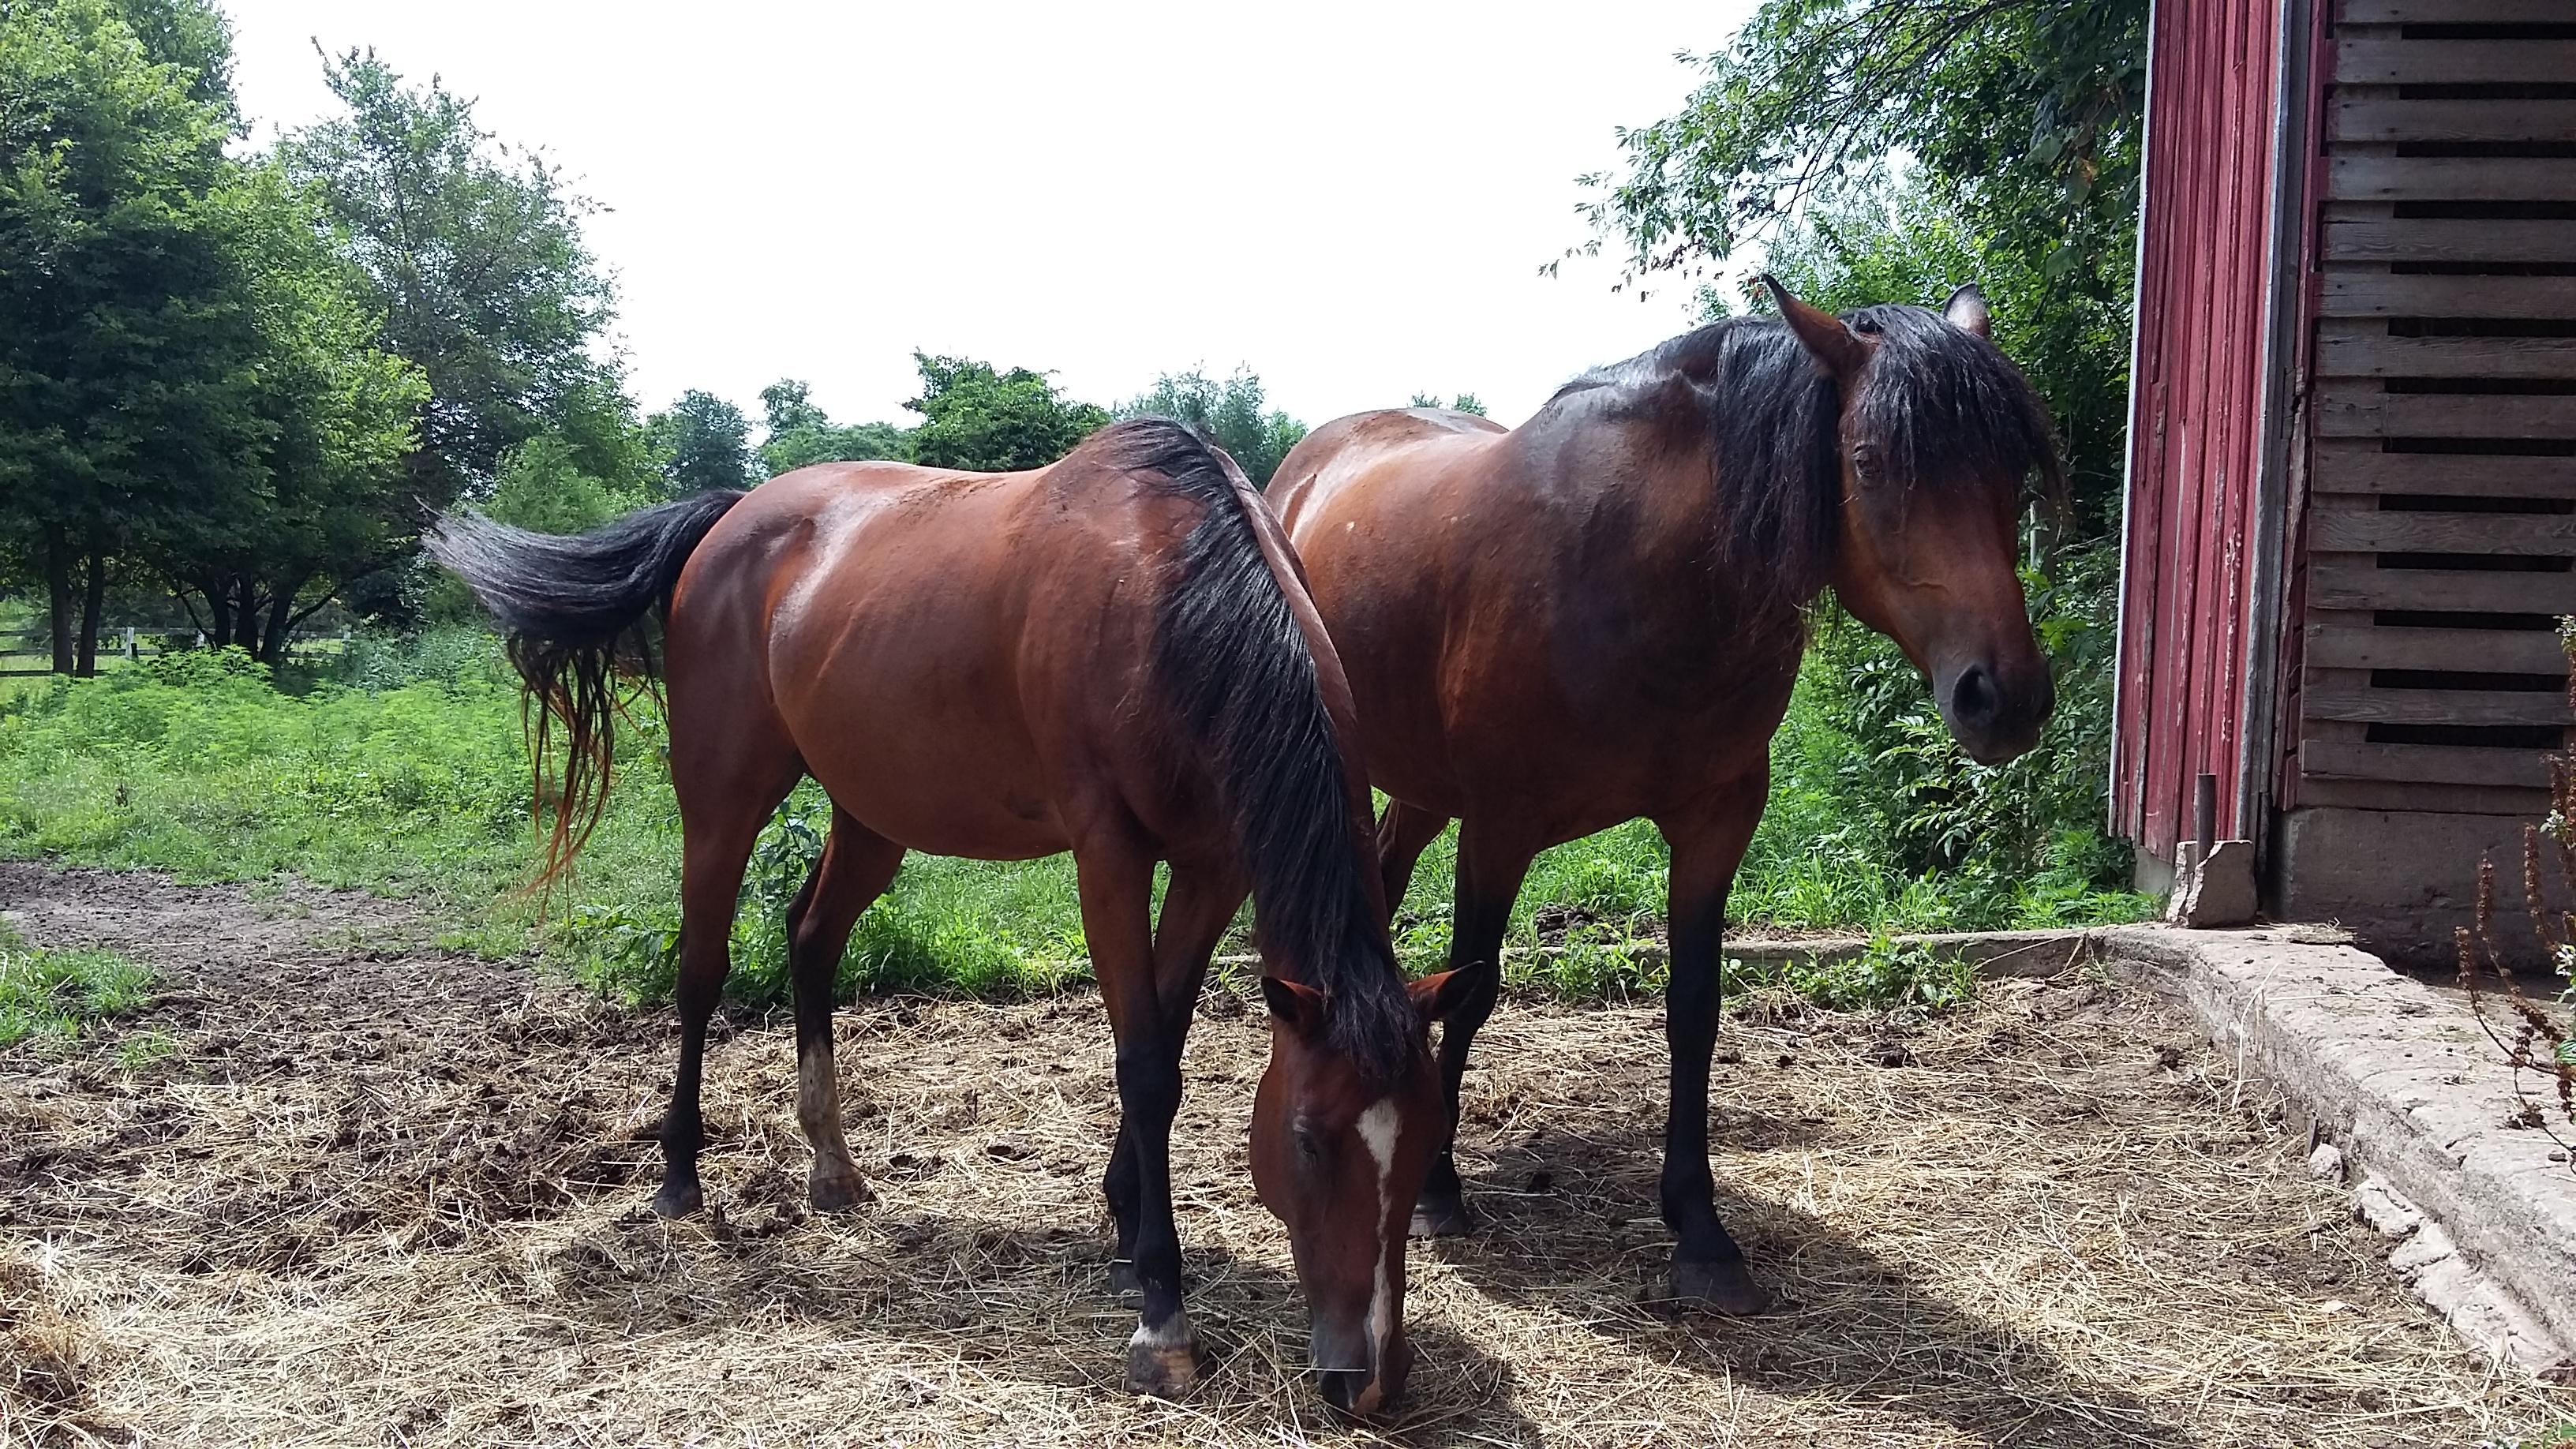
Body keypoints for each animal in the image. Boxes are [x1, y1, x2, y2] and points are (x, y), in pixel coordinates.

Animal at [430, 419, 1476, 1414]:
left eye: (1431, 1134)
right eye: (1307, 1140)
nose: (1371, 1381)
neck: (1178, 599)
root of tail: (731, 518)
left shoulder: (1216, 866)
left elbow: (1169, 1045)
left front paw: (1124, 1222)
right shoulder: (1108, 855)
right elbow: (1143, 1067)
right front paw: (1161, 1315)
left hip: (871, 814)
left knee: (811, 938)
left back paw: (832, 1168)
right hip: (723, 798)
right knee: (703, 970)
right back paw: (679, 1176)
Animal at [1266, 278, 2061, 1314]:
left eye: (2011, 465)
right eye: (1870, 461)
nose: (2005, 697)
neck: (1637, 570)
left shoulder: (1717, 822)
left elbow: (1695, 1009)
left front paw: (1701, 1229)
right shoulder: (1502, 827)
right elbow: (1475, 991)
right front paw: (1437, 1189)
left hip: (1420, 786)